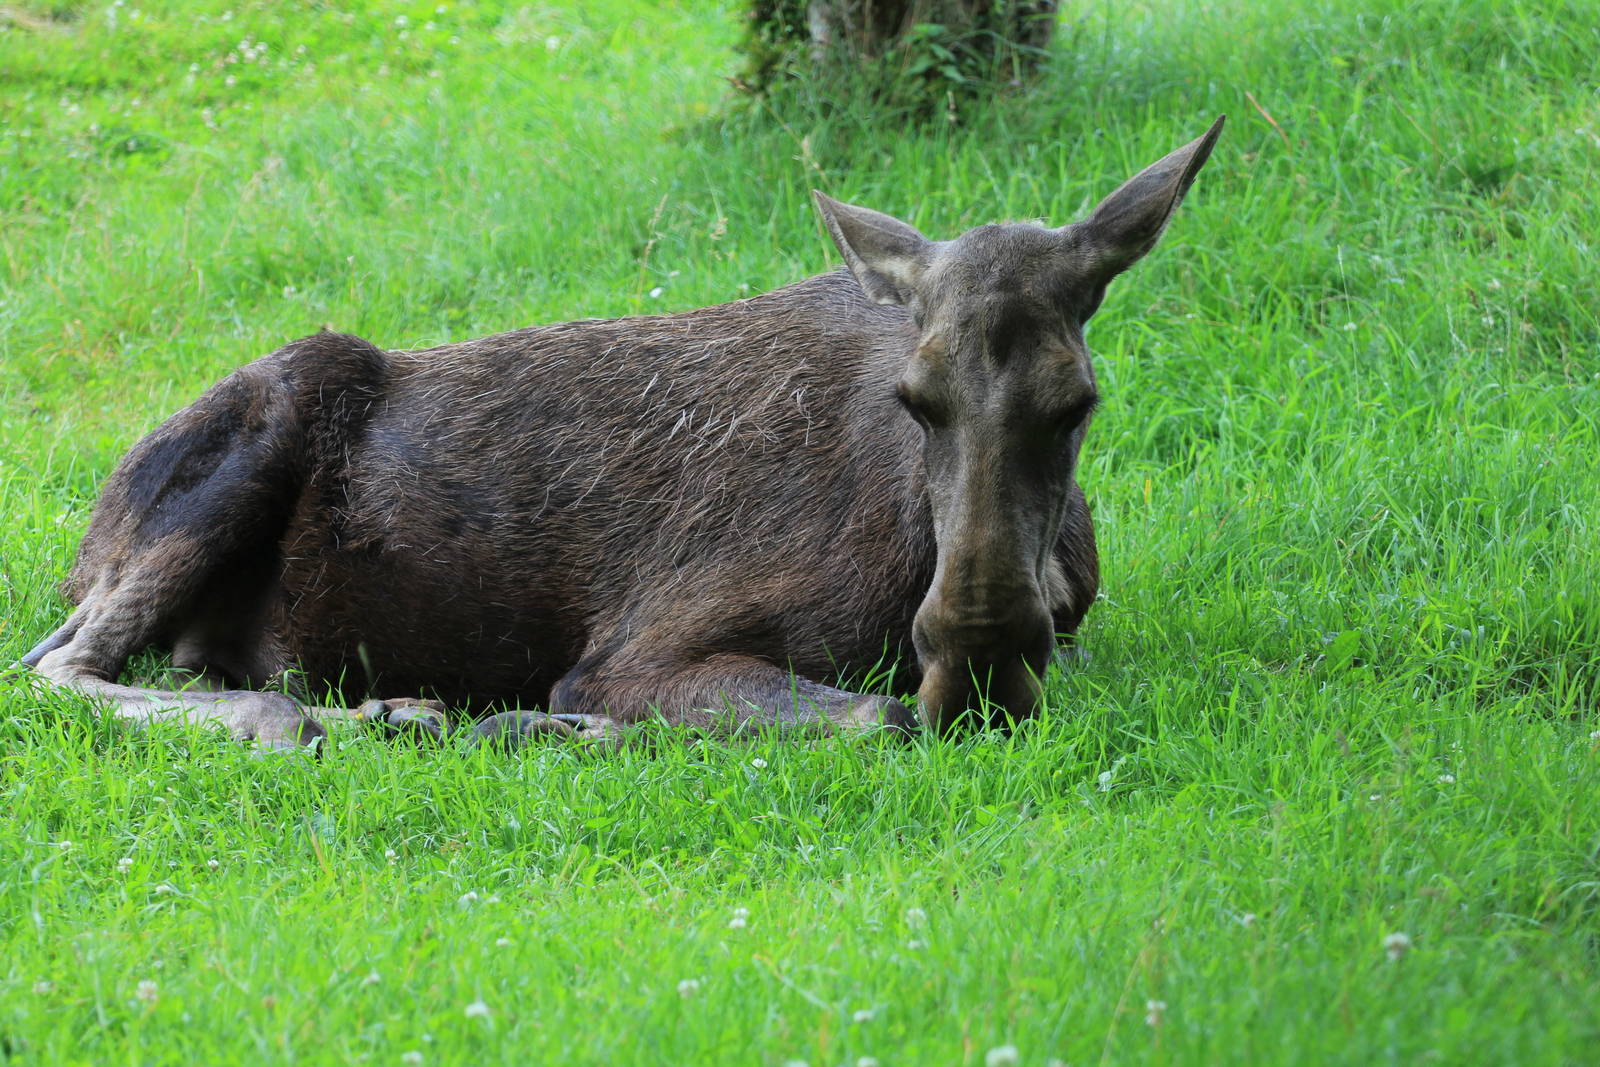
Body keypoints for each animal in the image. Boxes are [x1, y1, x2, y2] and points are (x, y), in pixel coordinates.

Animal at [19, 118, 1223, 750]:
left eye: (1078, 403)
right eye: (913, 398)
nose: (977, 661)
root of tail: (84, 545)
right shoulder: (637, 650)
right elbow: (878, 712)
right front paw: (548, 725)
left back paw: (398, 707)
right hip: (271, 411)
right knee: (55, 665)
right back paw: (340, 717)